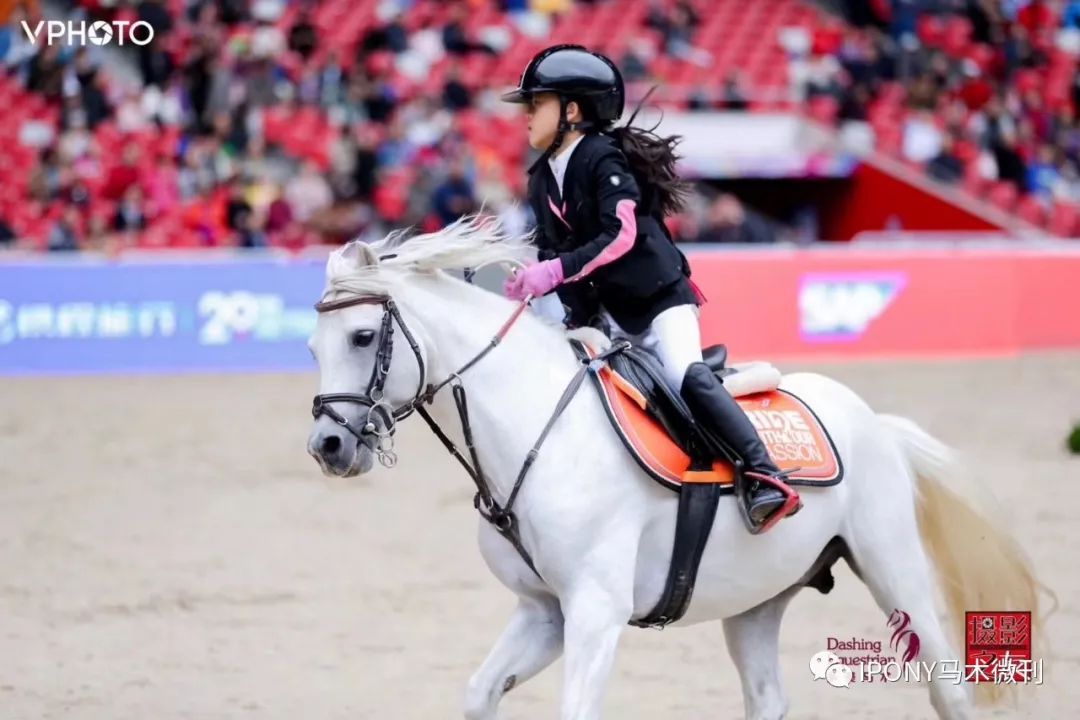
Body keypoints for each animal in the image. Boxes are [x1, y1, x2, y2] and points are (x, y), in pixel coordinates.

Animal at [304, 221, 1036, 720]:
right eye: (311, 346)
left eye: (363, 337)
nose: (328, 446)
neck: (539, 431)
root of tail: (874, 422)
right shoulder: (545, 613)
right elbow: (481, 694)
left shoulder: (595, 612)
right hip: (756, 603)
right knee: (768, 700)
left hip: (894, 572)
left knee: (948, 689)